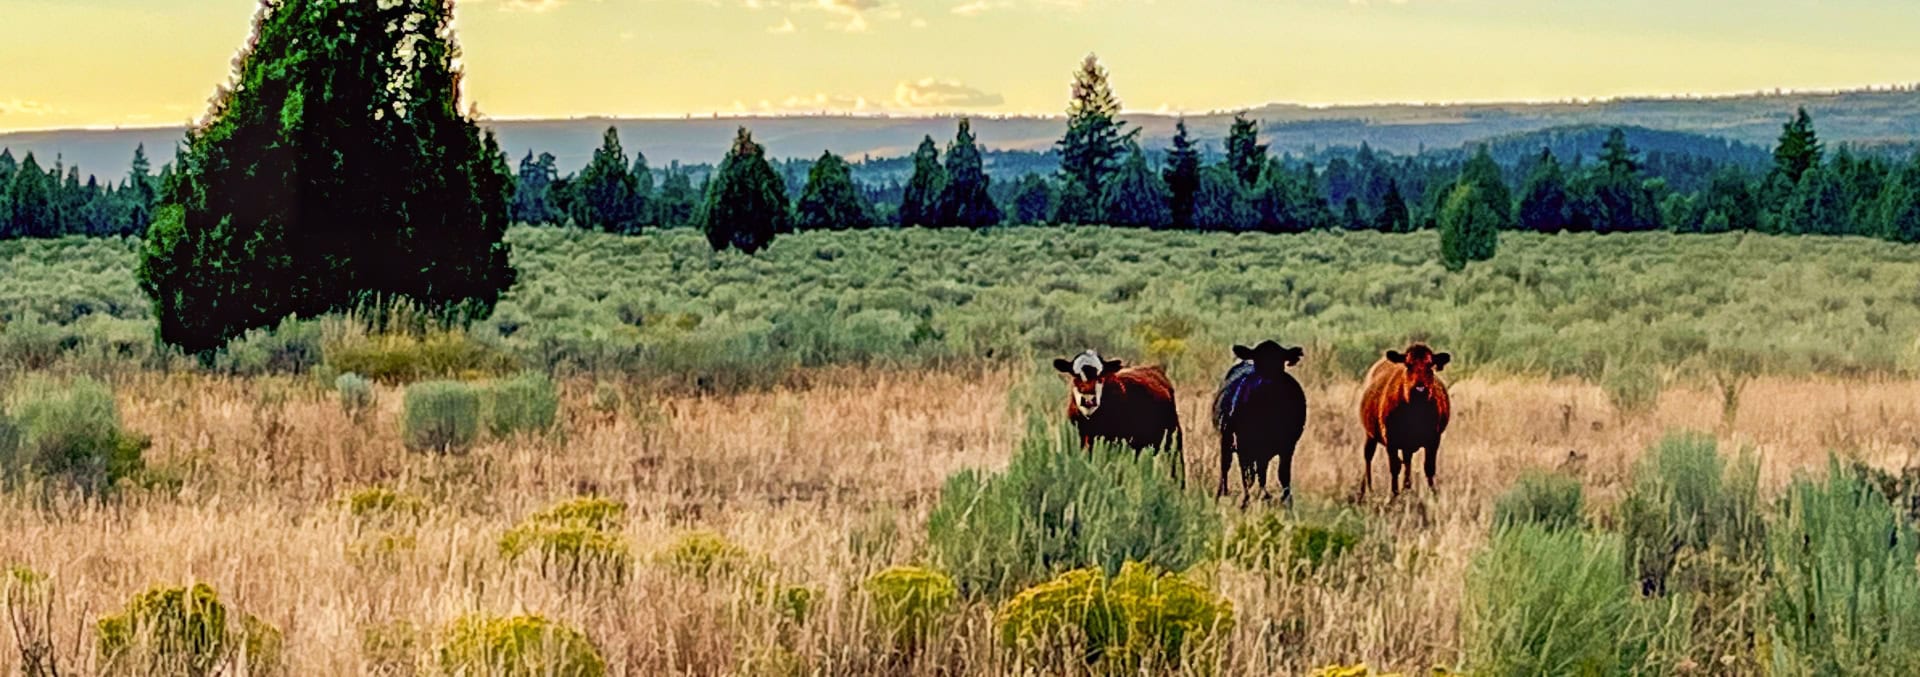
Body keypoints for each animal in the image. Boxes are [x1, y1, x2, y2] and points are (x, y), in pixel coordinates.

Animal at [1052, 349, 1185, 484]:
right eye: (1075, 376)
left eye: (1101, 377)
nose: (1088, 399)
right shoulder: (1084, 436)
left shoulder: (1116, 441)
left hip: (1172, 439)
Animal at [1212, 341, 1309, 508]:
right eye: (1258, 361)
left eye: (1280, 362)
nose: (1267, 382)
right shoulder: (1243, 444)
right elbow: (1247, 476)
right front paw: (1246, 503)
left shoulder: (1288, 446)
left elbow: (1283, 475)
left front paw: (1286, 503)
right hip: (1228, 441)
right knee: (1226, 468)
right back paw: (1222, 496)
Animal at [1359, 343, 1453, 499]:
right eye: (1408, 365)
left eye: (1430, 365)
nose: (1420, 388)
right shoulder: (1390, 440)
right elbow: (1395, 467)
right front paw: (1394, 495)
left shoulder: (1433, 440)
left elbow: (1429, 467)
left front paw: (1433, 494)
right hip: (1369, 435)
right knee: (1368, 457)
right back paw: (1367, 489)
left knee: (1407, 460)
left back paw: (1406, 488)